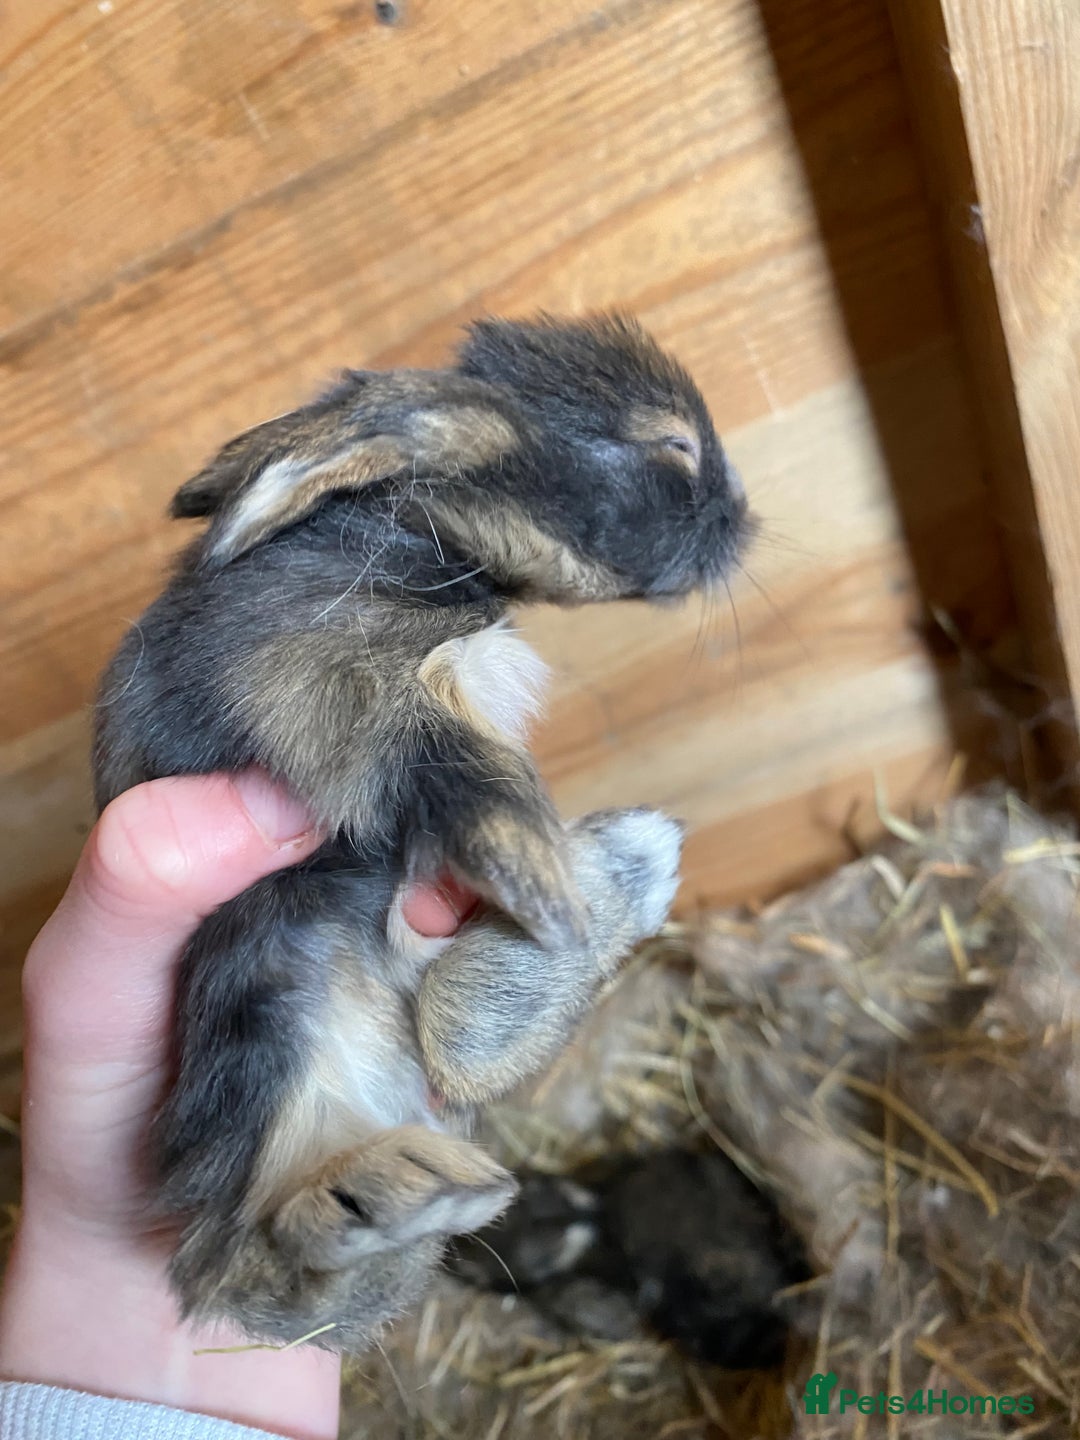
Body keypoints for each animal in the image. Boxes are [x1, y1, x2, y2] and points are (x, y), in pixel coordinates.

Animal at [92, 312, 751, 1350]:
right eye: (675, 446)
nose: (743, 514)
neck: (411, 528)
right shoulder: (325, 683)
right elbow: (458, 768)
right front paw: (542, 881)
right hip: (269, 1035)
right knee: (249, 1264)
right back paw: (387, 1195)